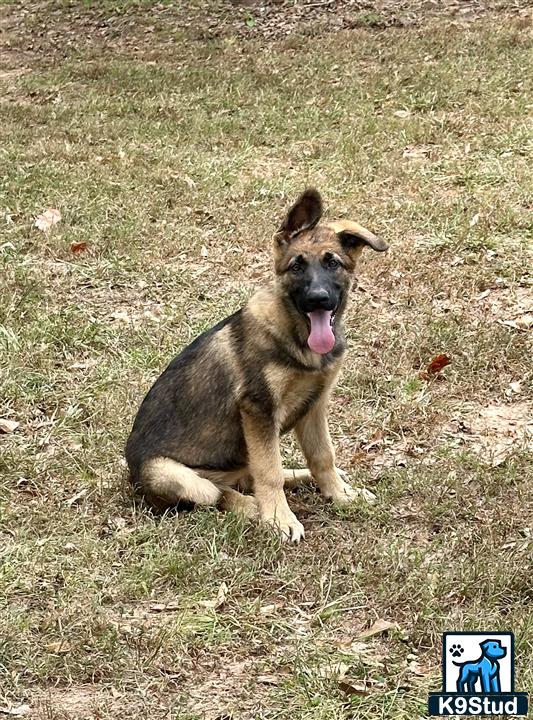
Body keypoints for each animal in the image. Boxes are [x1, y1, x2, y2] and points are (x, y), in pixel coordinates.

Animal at [127, 190, 388, 540]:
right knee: (217, 494)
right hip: (169, 473)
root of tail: (133, 480)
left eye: (332, 262)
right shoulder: (258, 409)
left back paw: (299, 476)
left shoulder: (315, 405)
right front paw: (278, 518)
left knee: (247, 476)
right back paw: (254, 508)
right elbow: (269, 471)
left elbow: (322, 455)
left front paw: (340, 494)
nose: (318, 299)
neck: (297, 338)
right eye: (296, 266)